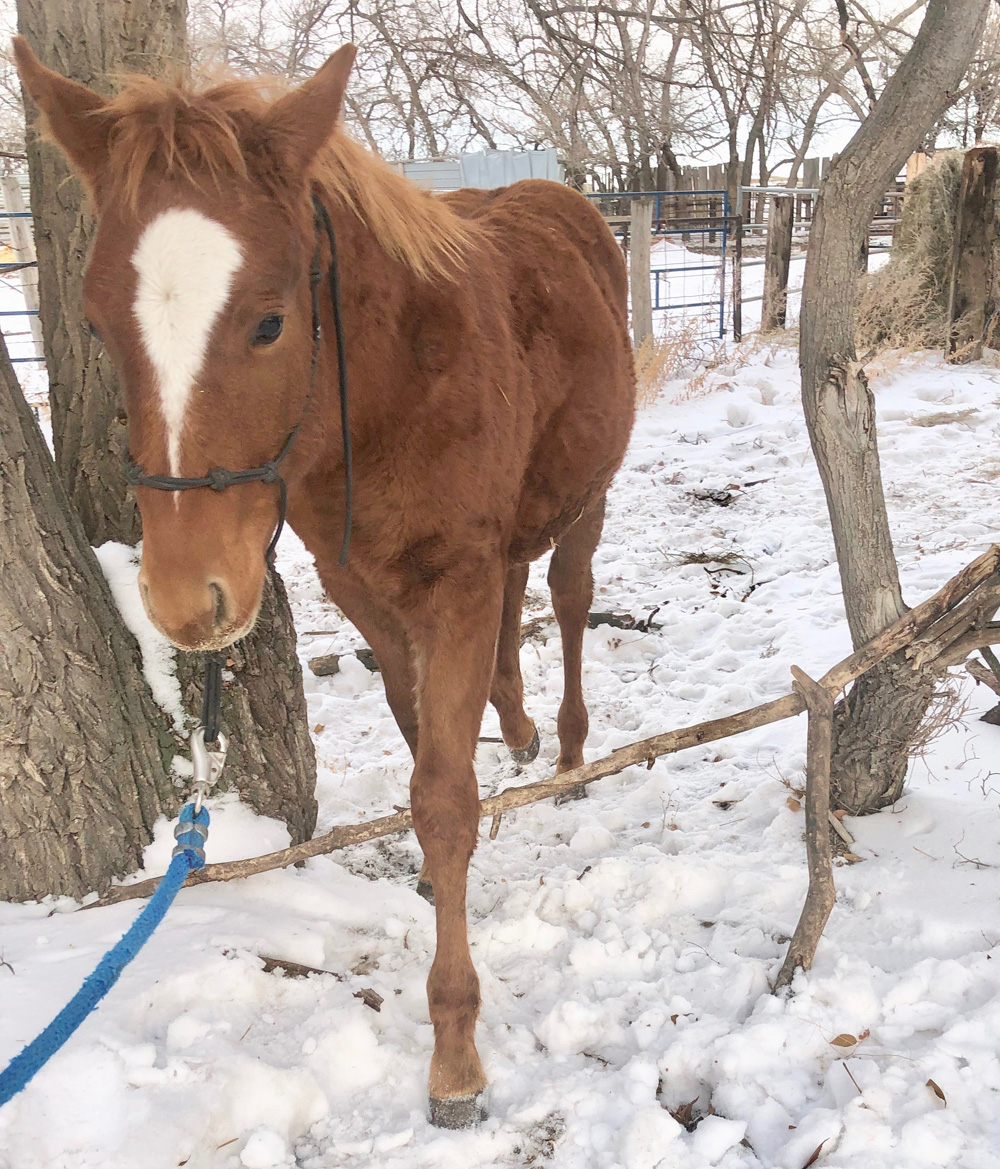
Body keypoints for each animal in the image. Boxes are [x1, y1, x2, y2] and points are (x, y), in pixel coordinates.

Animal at [14, 38, 636, 1127]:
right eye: (95, 324)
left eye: (269, 322)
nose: (187, 599)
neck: (389, 393)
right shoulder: (365, 590)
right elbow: (420, 739)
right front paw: (436, 871)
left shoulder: (454, 580)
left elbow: (443, 794)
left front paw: (455, 1052)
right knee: (521, 595)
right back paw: (516, 725)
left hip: (584, 497)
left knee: (562, 595)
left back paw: (563, 745)